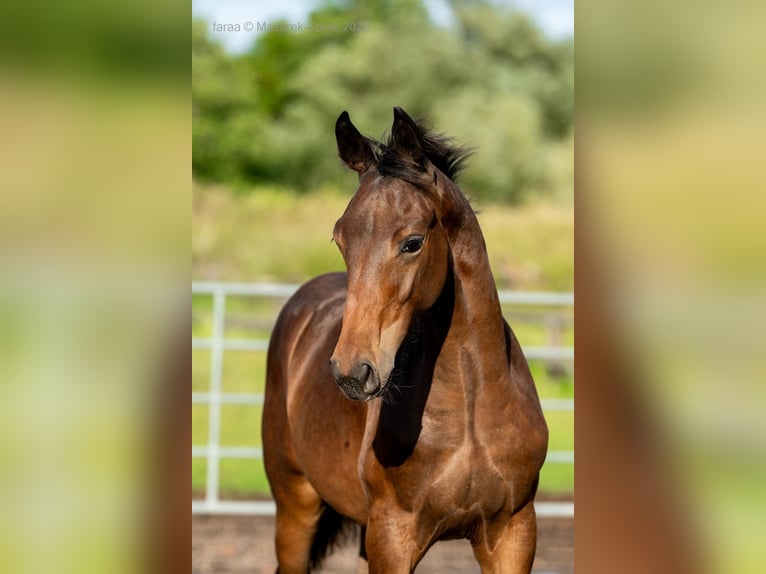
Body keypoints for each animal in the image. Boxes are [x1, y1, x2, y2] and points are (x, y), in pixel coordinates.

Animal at [262, 107, 548, 573]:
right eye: (340, 239)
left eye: (412, 242)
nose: (352, 371)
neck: (470, 409)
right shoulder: (393, 535)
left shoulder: (513, 532)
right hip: (295, 505)